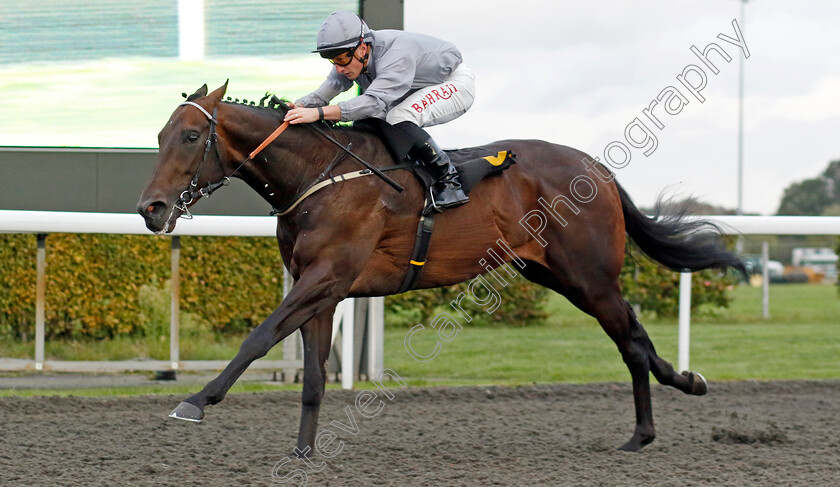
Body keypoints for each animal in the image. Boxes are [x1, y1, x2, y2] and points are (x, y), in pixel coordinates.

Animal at [139, 83, 748, 454]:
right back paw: (682, 386)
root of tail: (595, 167)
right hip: (555, 275)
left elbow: (259, 337)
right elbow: (313, 377)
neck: (319, 175)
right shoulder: (323, 290)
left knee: (630, 341)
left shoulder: (325, 277)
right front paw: (304, 452)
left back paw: (644, 431)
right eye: (160, 135)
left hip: (588, 277)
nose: (151, 208)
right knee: (635, 334)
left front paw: (196, 401)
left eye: (191, 136)